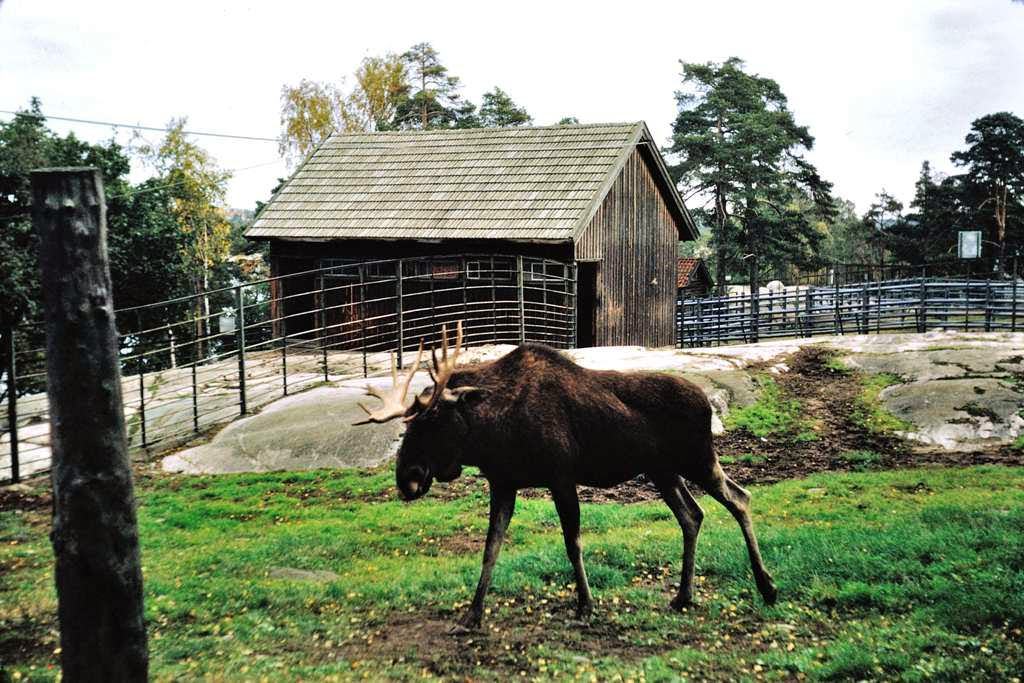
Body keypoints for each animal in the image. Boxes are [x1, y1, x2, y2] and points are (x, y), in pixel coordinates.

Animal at [354, 323, 774, 634]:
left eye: (433, 420)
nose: (407, 478)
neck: (493, 433)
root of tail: (705, 401)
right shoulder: (503, 484)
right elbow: (490, 549)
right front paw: (472, 615)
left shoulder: (561, 477)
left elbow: (573, 544)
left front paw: (585, 606)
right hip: (663, 471)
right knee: (693, 516)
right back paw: (684, 596)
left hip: (696, 459)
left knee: (740, 498)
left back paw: (766, 586)